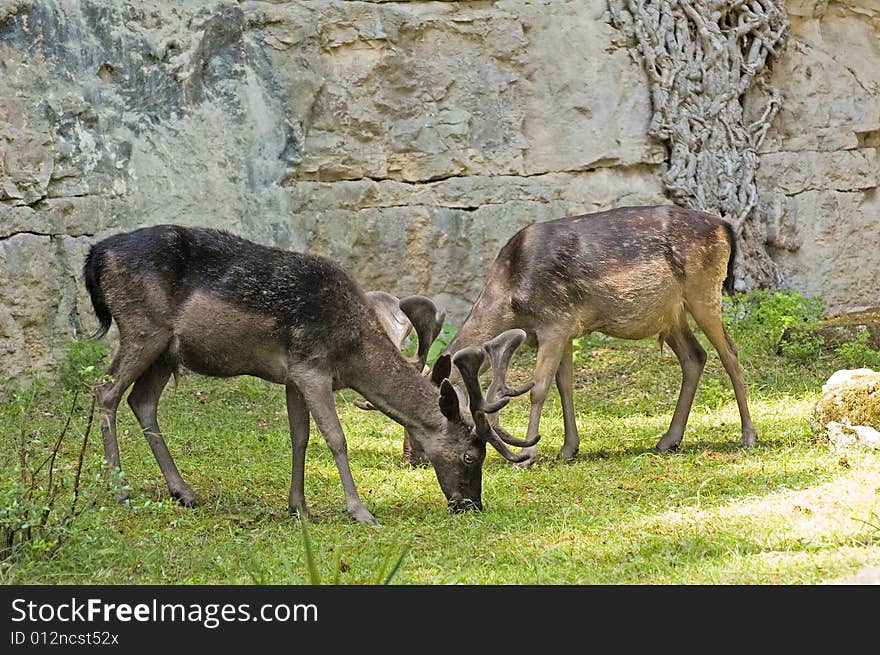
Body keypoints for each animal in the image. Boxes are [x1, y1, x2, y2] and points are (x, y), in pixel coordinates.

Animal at [84, 223, 536, 524]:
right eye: (471, 455)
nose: (471, 505)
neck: (353, 353)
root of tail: (96, 254)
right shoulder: (313, 367)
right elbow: (336, 438)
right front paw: (360, 511)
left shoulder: (293, 376)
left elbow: (299, 437)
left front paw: (298, 506)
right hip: (142, 328)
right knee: (105, 391)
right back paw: (118, 489)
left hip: (166, 351)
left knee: (141, 401)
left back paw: (184, 492)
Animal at [402, 205, 760, 466]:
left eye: (433, 413)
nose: (411, 458)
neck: (511, 297)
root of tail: (726, 228)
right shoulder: (566, 329)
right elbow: (565, 386)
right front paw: (568, 448)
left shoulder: (554, 322)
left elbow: (540, 389)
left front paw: (528, 455)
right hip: (670, 315)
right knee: (695, 356)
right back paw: (668, 440)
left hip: (704, 291)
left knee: (729, 352)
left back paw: (748, 435)